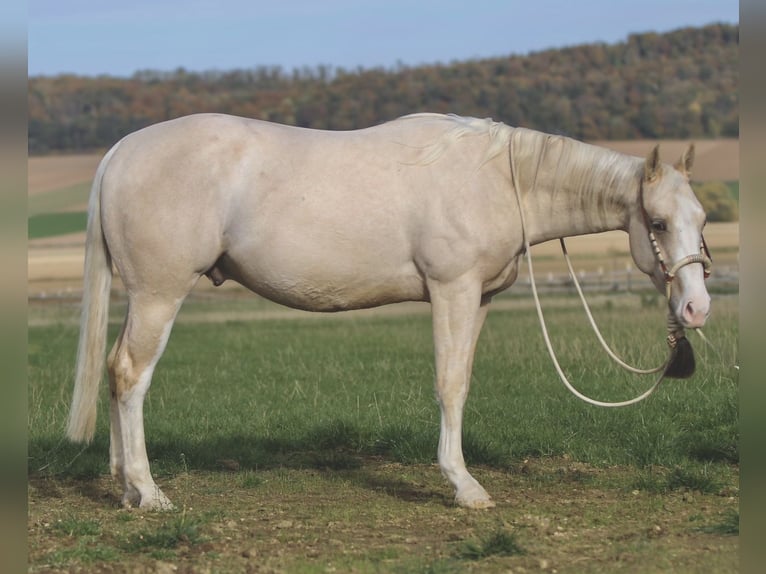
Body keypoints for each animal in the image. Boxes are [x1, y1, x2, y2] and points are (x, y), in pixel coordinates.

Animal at [66, 113, 711, 510]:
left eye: (702, 219)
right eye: (657, 223)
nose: (696, 307)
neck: (499, 181)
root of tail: (122, 151)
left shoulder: (479, 299)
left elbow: (463, 381)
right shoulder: (452, 290)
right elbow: (449, 385)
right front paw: (463, 485)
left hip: (141, 298)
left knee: (114, 370)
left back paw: (125, 488)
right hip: (160, 295)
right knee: (131, 375)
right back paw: (149, 492)